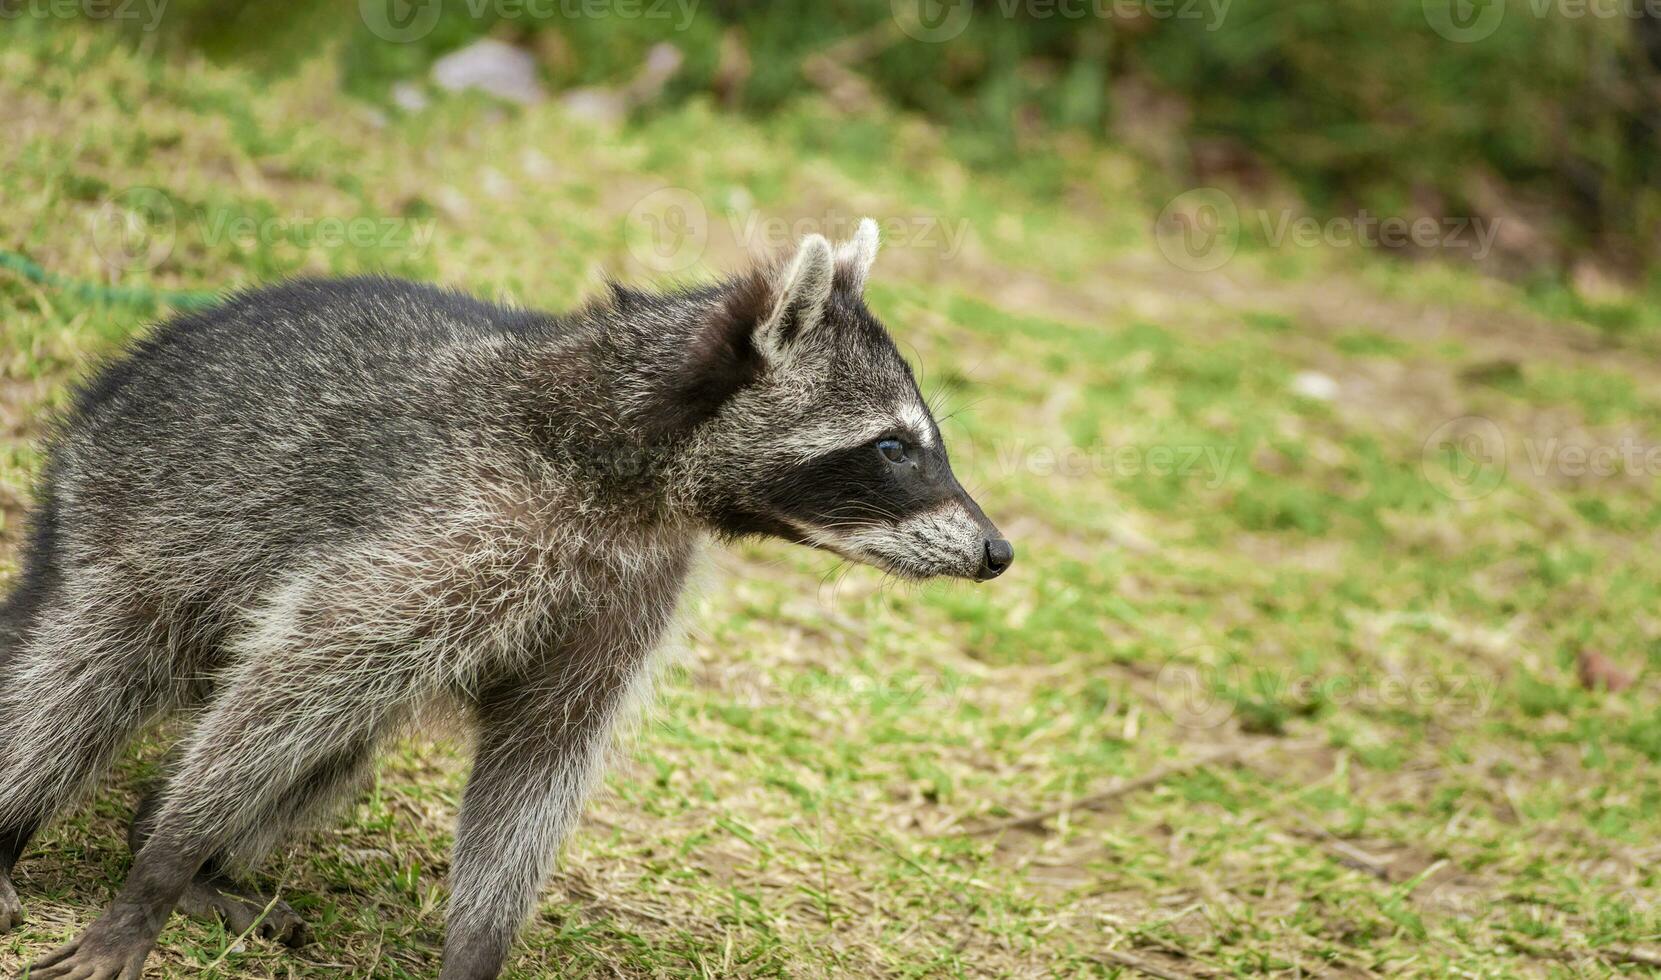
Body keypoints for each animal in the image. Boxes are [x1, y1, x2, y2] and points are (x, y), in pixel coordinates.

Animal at [0, 222, 1009, 980]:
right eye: (893, 448)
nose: (999, 551)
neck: (621, 452)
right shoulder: (460, 527)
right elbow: (302, 669)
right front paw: (157, 873)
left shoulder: (630, 585)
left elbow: (539, 760)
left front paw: (475, 946)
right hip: (129, 512)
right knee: (82, 679)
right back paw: (58, 830)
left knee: (330, 752)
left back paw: (168, 840)